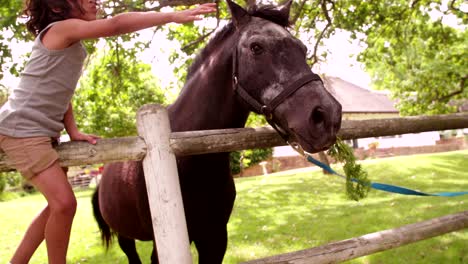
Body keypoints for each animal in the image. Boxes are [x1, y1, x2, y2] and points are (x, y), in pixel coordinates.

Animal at [91, 1, 342, 262]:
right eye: (256, 47)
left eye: (302, 48)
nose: (327, 116)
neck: (187, 159)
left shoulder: (214, 238)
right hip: (125, 237)